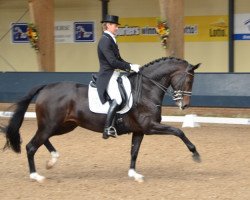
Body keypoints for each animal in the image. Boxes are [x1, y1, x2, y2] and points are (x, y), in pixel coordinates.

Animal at [2, 56, 201, 183]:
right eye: (189, 80)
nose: (185, 105)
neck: (145, 89)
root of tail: (46, 87)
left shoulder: (139, 130)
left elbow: (134, 152)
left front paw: (134, 175)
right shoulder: (150, 126)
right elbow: (178, 131)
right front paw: (195, 154)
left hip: (63, 126)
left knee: (42, 140)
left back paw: (52, 160)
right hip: (51, 124)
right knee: (31, 146)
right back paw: (36, 176)